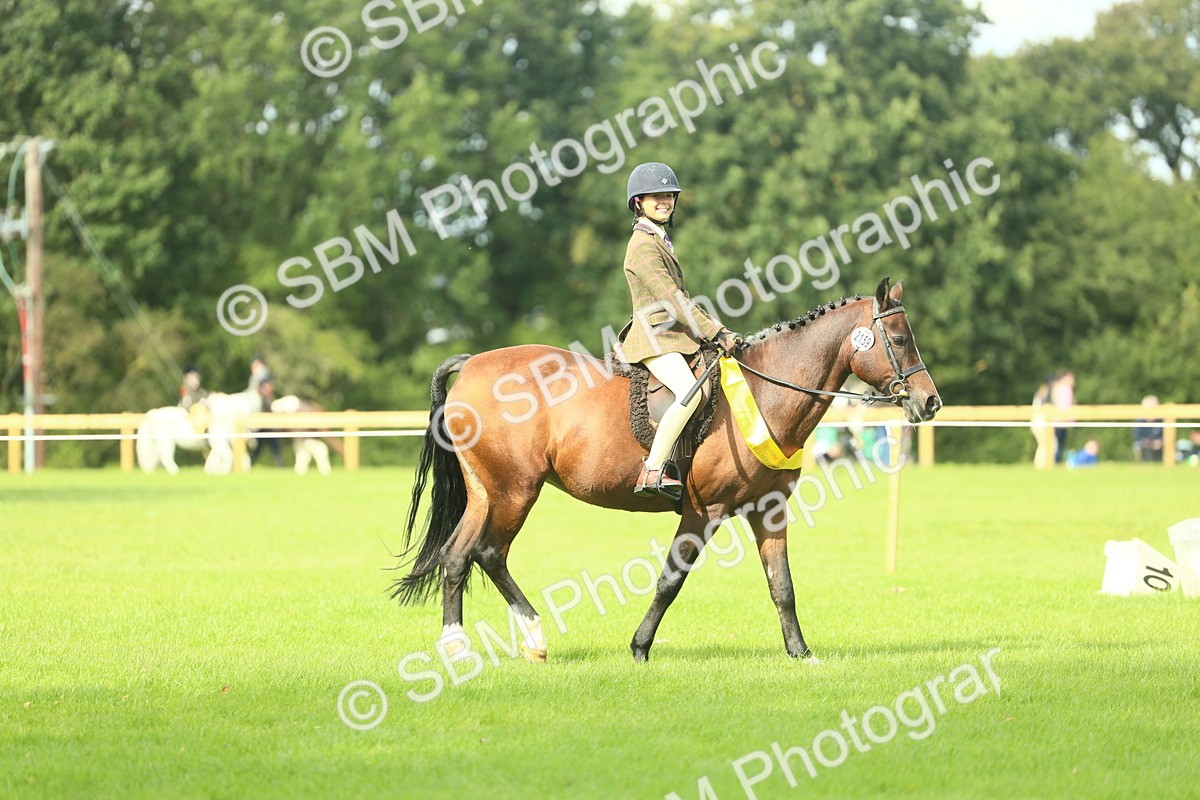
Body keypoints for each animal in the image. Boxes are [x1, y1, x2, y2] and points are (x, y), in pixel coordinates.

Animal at [393, 278, 942, 662]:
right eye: (899, 338)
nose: (930, 401)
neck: (765, 391)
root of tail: (472, 365)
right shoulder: (704, 511)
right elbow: (670, 580)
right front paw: (639, 648)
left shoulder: (769, 511)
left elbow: (781, 585)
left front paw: (800, 653)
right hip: (515, 491)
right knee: (489, 553)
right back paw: (533, 638)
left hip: (487, 492)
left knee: (457, 556)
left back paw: (458, 647)